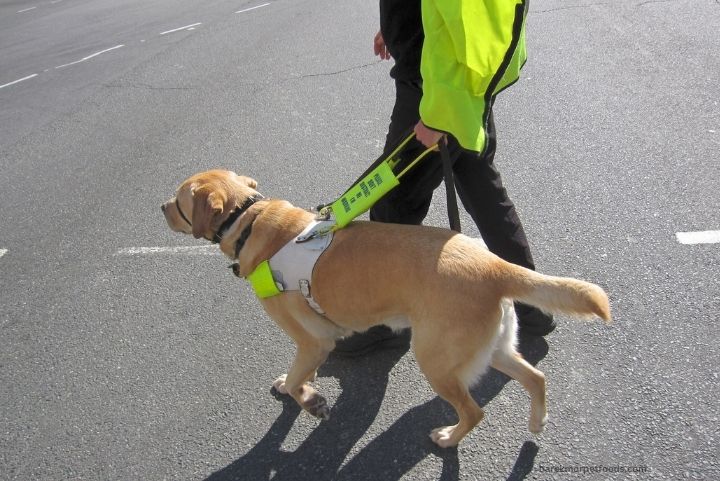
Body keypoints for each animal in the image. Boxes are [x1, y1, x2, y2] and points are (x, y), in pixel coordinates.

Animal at [162, 169, 608, 446]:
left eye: (179, 200)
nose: (159, 207)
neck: (249, 218)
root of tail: (494, 264)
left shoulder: (314, 341)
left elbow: (298, 377)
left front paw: (307, 398)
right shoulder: (313, 345)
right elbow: (298, 373)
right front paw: (301, 387)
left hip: (436, 359)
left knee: (474, 412)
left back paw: (448, 438)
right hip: (493, 347)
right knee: (536, 378)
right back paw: (537, 420)